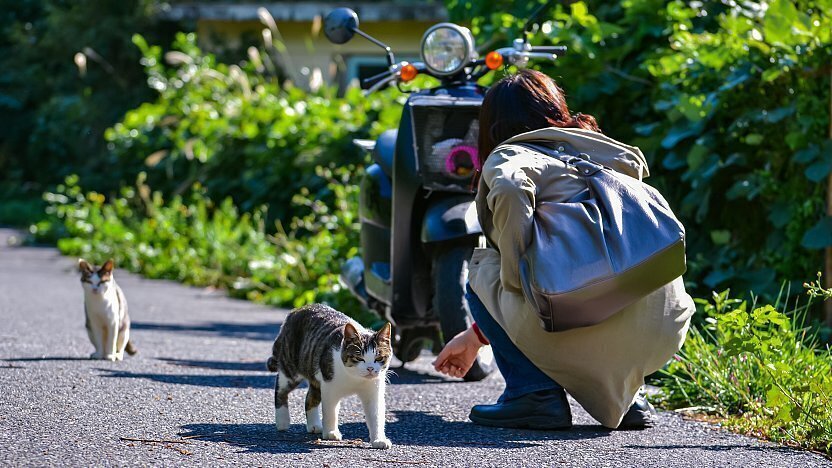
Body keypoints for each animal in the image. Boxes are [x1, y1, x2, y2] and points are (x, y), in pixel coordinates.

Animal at [268, 304, 394, 450]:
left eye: (379, 358)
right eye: (359, 358)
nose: (370, 369)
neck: (355, 379)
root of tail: (297, 310)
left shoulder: (374, 390)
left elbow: (376, 414)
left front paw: (379, 439)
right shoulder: (329, 385)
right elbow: (330, 411)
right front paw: (331, 433)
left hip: (316, 375)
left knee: (310, 397)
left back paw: (314, 425)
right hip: (291, 368)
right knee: (280, 389)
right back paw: (282, 422)